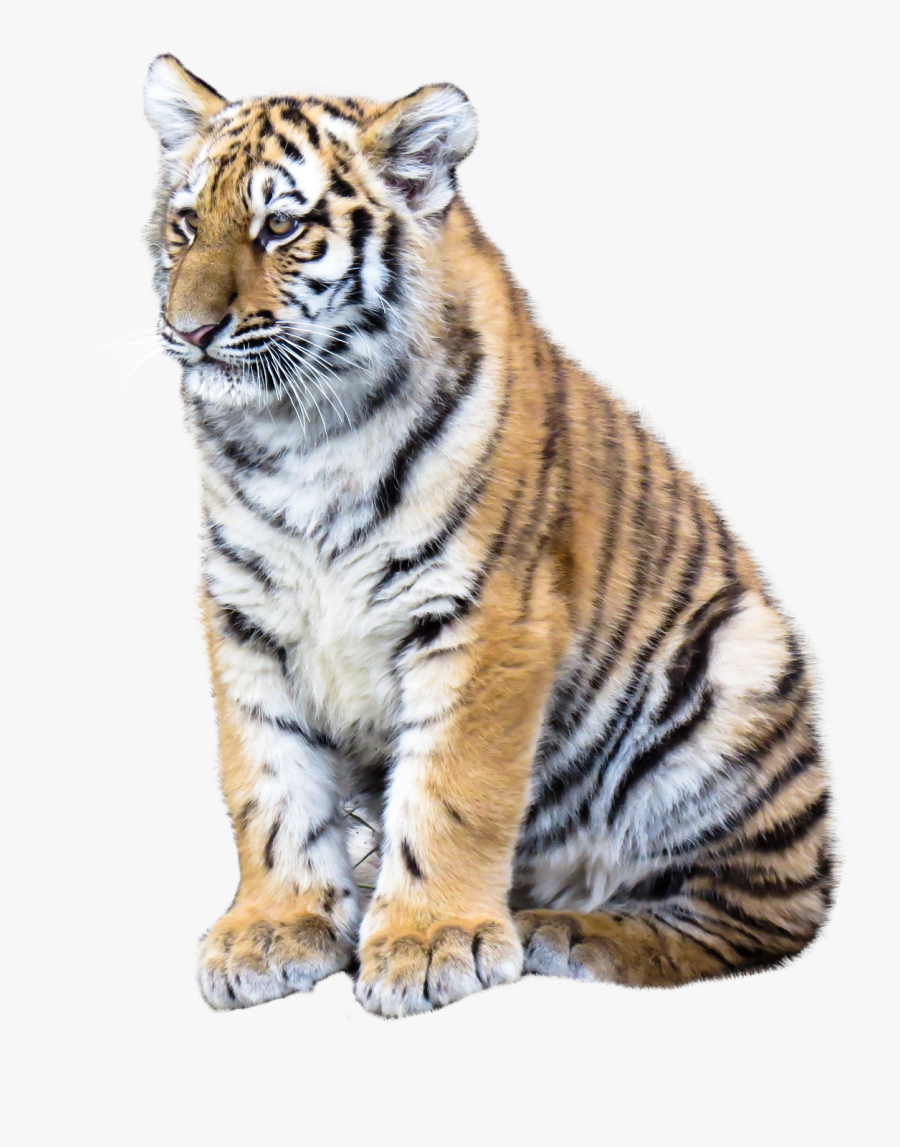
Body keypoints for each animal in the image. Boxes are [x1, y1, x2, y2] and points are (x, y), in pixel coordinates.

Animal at [143, 54, 834, 1017]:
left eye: (280, 226)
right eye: (184, 225)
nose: (189, 330)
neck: (301, 436)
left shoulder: (485, 615)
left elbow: (451, 788)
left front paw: (431, 942)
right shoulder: (246, 614)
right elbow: (268, 781)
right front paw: (275, 929)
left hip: (738, 666)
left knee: (757, 914)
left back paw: (568, 930)